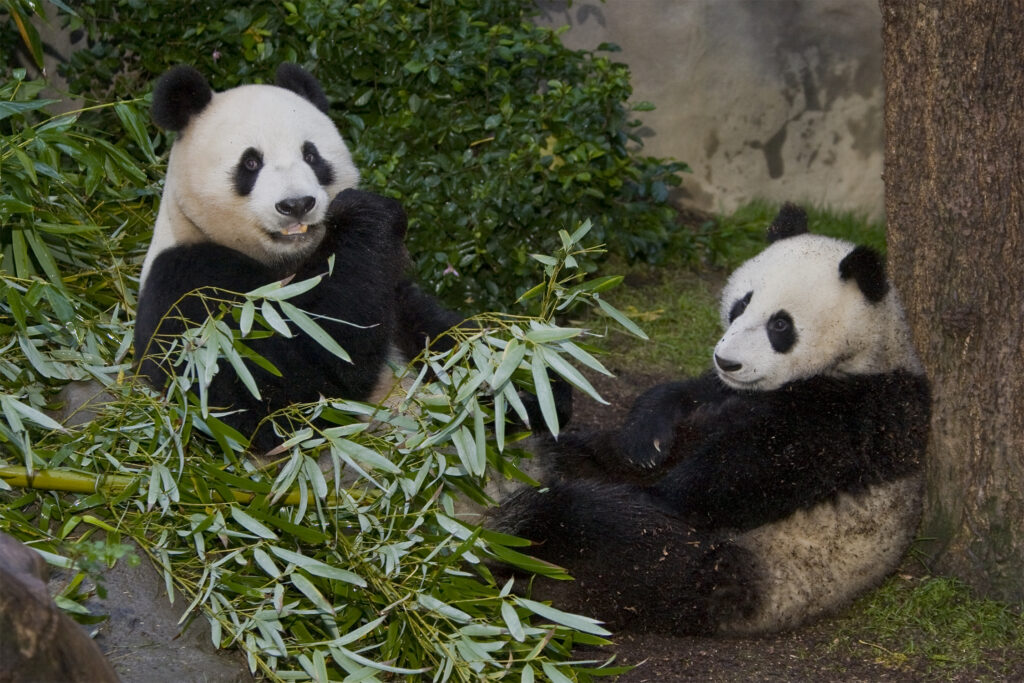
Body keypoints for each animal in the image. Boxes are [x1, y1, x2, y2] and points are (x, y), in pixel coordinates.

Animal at [135, 64, 462, 453]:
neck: (288, 261)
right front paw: (366, 214)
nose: (296, 204)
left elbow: (444, 338)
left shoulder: (393, 292)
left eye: (311, 156)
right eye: (251, 162)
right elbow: (272, 394)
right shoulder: (187, 284)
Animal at [491, 204, 931, 635]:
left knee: (602, 532)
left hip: (715, 568)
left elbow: (747, 471)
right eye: (741, 305)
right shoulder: (726, 390)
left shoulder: (860, 409)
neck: (865, 352)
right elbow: (679, 398)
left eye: (780, 324)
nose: (727, 361)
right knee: (579, 455)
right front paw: (644, 442)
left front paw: (661, 492)